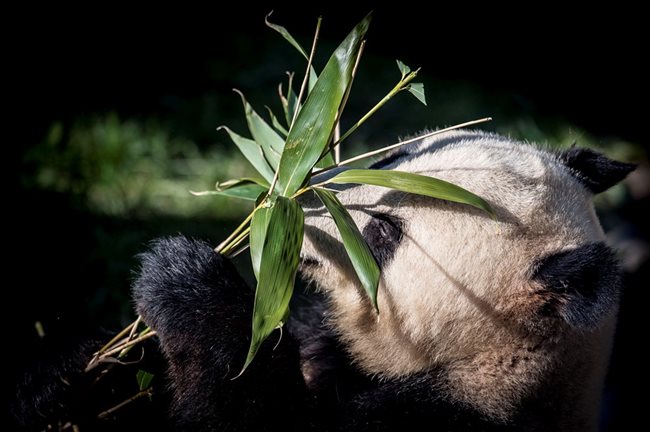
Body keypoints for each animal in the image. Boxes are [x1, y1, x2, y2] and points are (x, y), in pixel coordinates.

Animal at [12, 130, 636, 430]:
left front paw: (183, 280)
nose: (298, 199)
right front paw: (72, 375)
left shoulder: (451, 415)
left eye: (384, 233)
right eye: (390, 160)